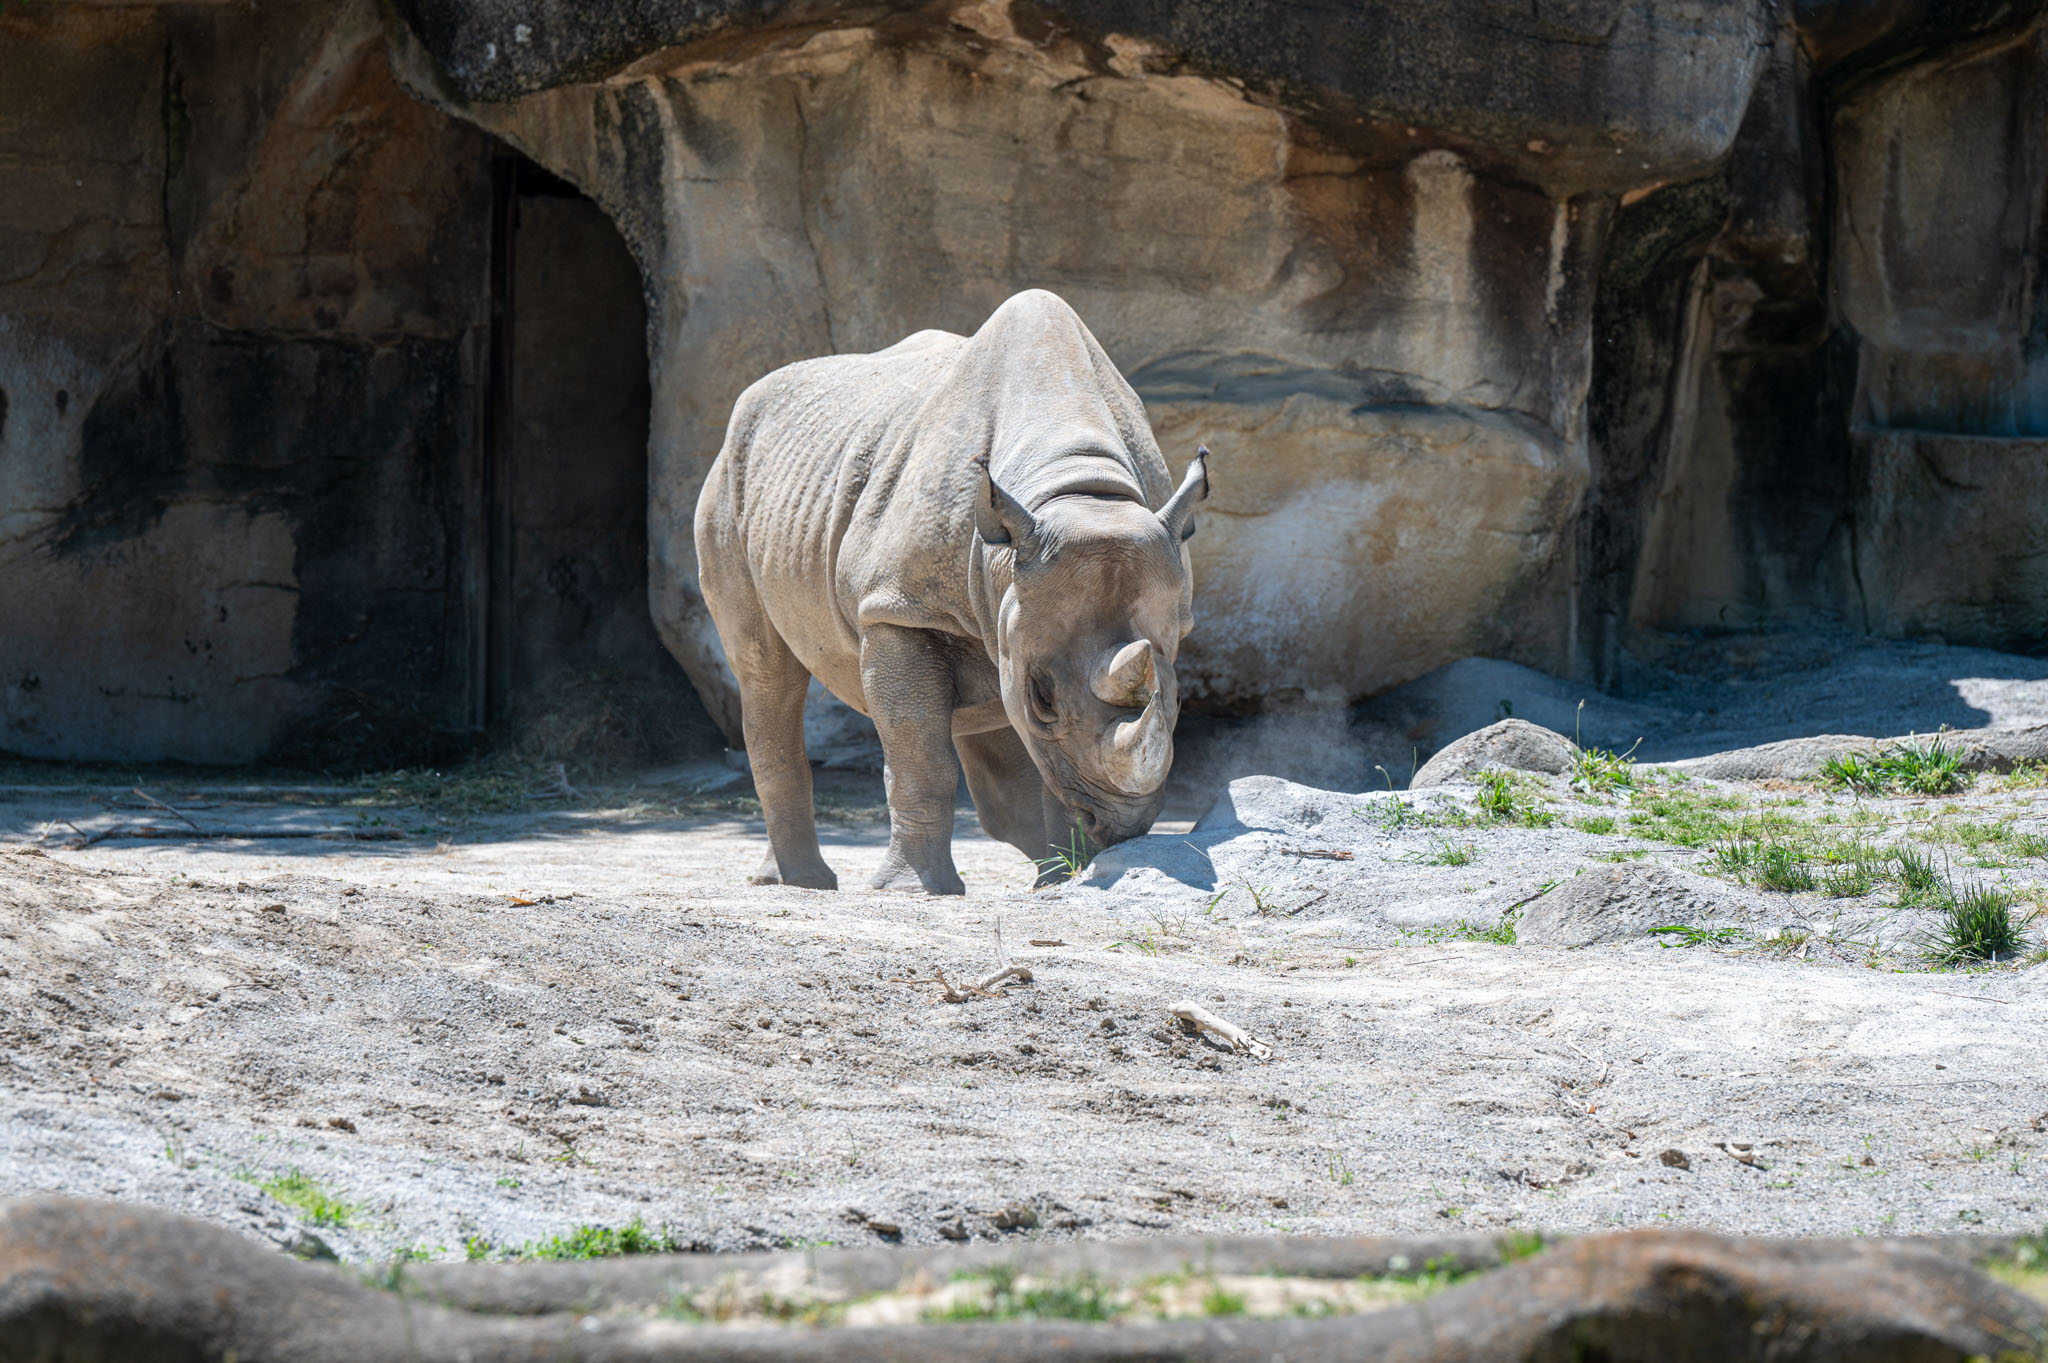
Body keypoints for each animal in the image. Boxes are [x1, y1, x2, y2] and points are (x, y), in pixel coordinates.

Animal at [694, 289, 1209, 894]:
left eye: (1179, 697)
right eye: (1042, 699)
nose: (1124, 827)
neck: (1079, 491)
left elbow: (1041, 761)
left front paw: (1065, 879)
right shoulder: (899, 608)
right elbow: (922, 753)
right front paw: (914, 890)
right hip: (730, 480)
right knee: (766, 669)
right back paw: (800, 882)